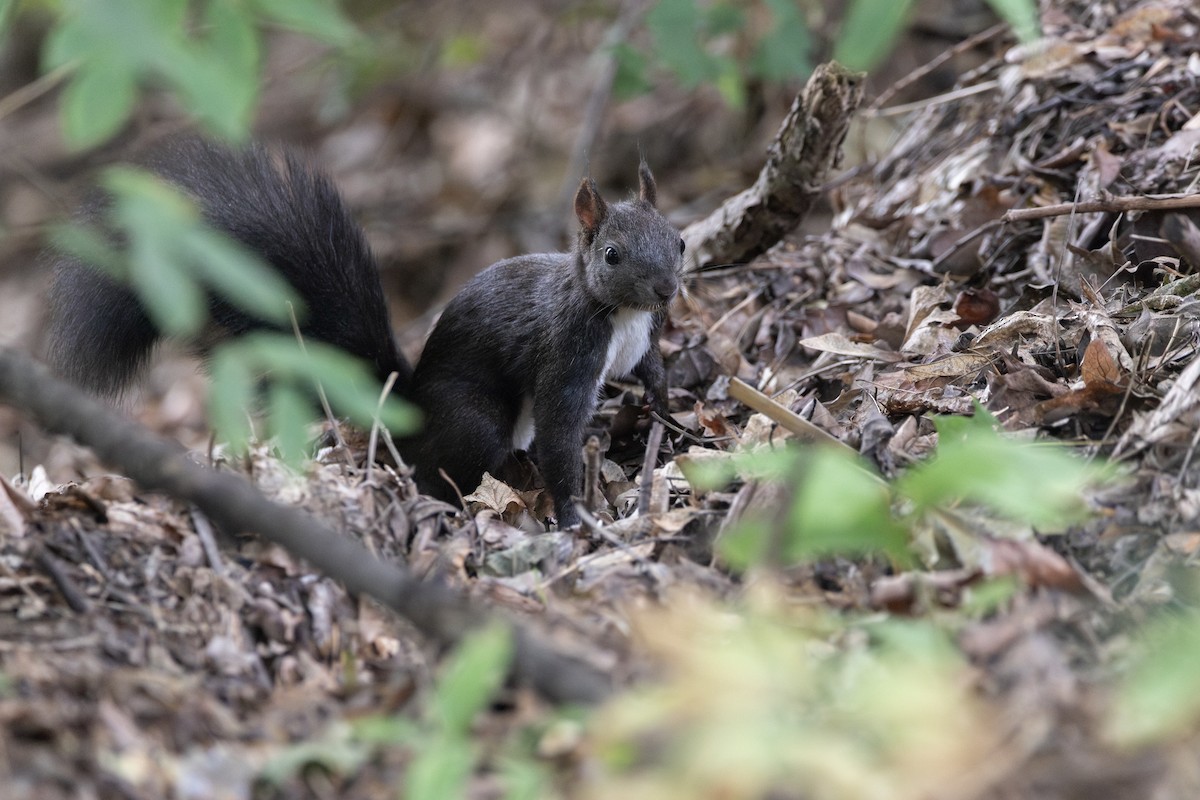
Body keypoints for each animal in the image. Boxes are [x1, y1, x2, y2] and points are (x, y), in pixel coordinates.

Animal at [46, 137, 683, 527]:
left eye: (678, 239)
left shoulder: (633, 343)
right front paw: (575, 513)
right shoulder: (566, 351)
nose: (666, 290)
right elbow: (559, 429)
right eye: (612, 254)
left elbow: (647, 367)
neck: (617, 314)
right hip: (476, 424)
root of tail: (410, 416)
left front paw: (665, 404)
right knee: (443, 470)